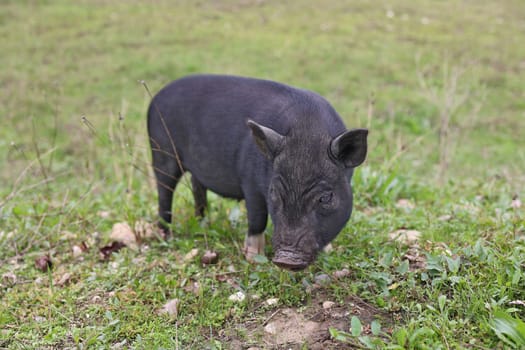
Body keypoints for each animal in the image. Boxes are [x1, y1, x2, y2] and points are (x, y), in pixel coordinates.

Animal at [146, 74, 368, 270]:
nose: (286, 260)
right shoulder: (250, 183)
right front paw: (254, 259)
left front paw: (330, 251)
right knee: (164, 192)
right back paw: (166, 235)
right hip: (161, 151)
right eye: (274, 192)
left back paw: (203, 223)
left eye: (326, 197)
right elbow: (257, 218)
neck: (308, 130)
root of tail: (156, 98)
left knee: (197, 186)